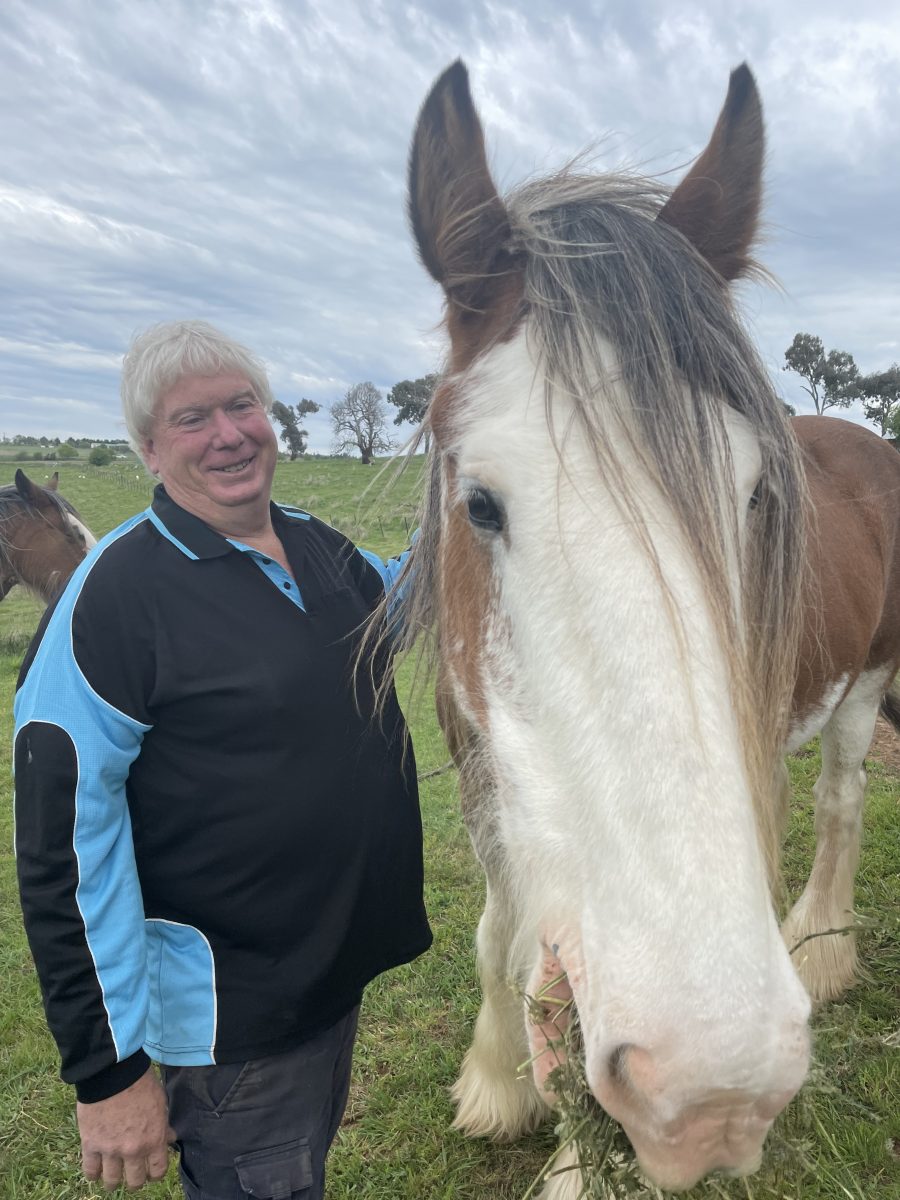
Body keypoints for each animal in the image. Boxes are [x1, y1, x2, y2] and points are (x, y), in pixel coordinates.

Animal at [398, 60, 900, 1195]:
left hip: (863, 687)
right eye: (479, 503)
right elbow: (499, 928)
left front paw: (577, 1161)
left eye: (754, 495)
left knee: (842, 802)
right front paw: (496, 1083)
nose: (713, 1090)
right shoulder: (484, 771)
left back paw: (820, 945)